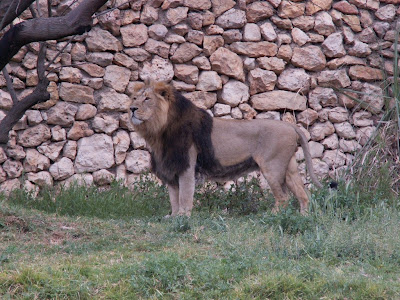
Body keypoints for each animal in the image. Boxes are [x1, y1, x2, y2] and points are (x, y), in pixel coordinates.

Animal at [130, 79, 324, 216]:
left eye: (147, 99)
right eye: (134, 98)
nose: (131, 108)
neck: (159, 132)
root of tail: (290, 125)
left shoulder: (186, 166)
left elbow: (184, 196)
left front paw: (183, 218)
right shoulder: (171, 168)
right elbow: (174, 198)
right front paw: (173, 217)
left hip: (272, 168)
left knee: (283, 198)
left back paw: (271, 216)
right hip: (288, 168)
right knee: (303, 195)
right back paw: (303, 217)